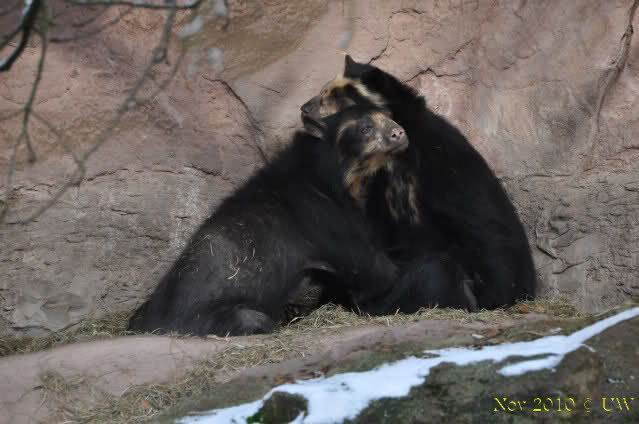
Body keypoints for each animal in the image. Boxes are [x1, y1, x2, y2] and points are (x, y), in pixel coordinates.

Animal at [128, 105, 446, 337]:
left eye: (390, 118)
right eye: (366, 128)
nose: (400, 133)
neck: (340, 174)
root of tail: (149, 321)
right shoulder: (324, 217)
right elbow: (373, 269)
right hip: (213, 314)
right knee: (253, 319)